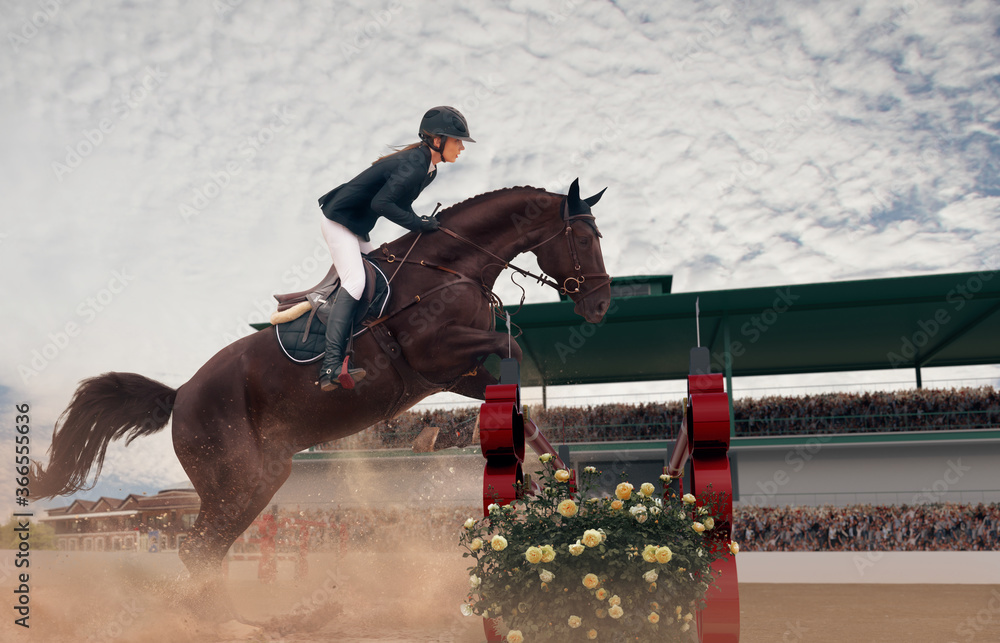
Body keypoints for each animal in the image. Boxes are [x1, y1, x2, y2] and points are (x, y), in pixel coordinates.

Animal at [29, 180, 608, 620]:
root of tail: (180, 395)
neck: (451, 266)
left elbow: (524, 412)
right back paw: (228, 622)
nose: (601, 305)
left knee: (205, 548)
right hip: (240, 476)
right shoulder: (436, 352)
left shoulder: (454, 372)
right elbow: (512, 349)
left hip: (255, 479)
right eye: (583, 236)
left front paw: (561, 484)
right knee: (200, 547)